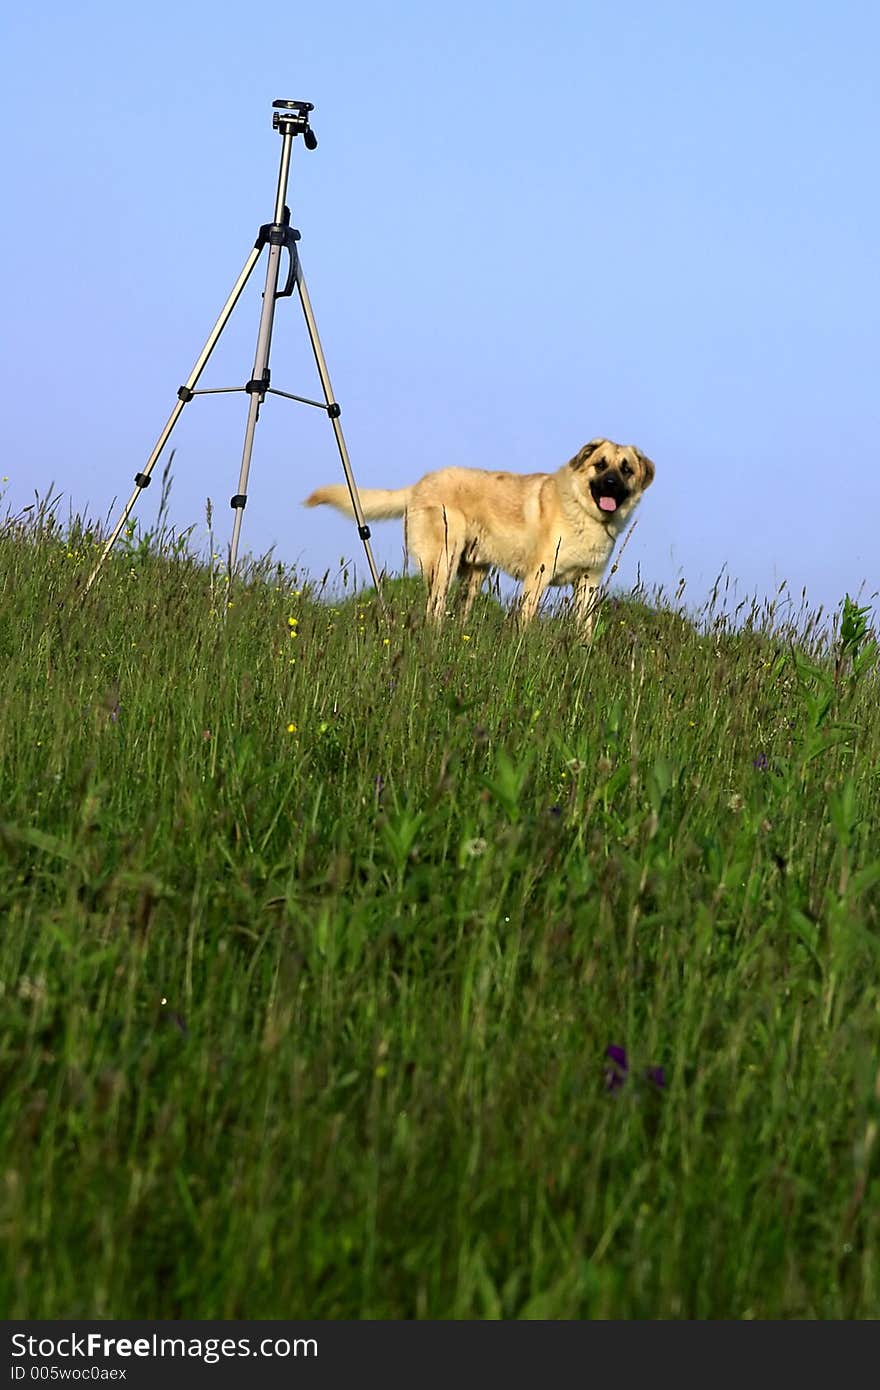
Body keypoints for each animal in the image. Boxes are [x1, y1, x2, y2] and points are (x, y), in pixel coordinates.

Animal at [301, 439, 653, 636]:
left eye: (626, 469)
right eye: (600, 465)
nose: (611, 484)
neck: (584, 512)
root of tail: (419, 484)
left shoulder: (588, 583)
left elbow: (586, 626)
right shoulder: (537, 578)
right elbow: (526, 621)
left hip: (474, 574)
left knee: (460, 612)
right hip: (443, 564)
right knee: (435, 611)